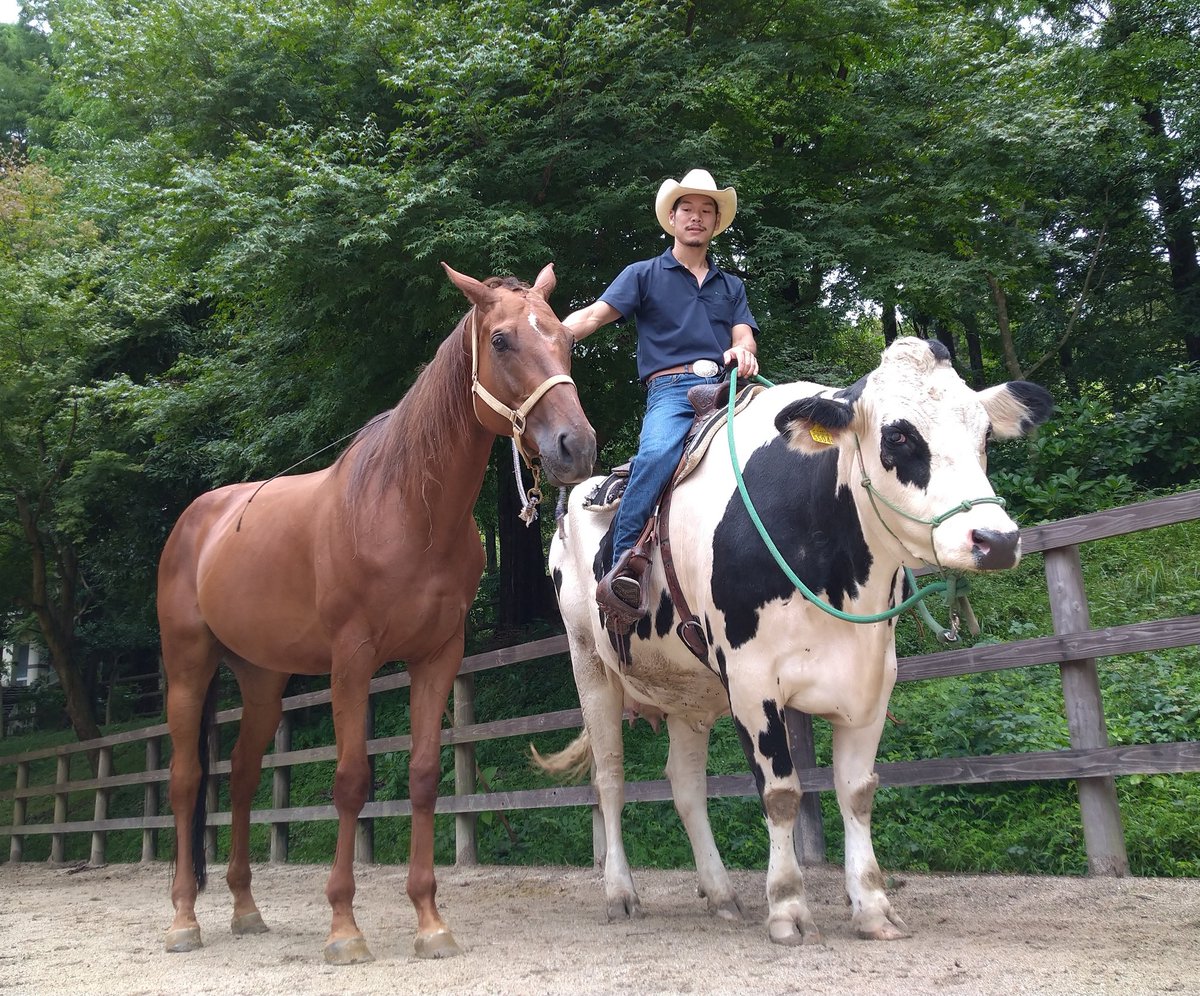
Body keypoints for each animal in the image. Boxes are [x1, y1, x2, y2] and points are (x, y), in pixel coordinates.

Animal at [154, 261, 595, 964]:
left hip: (262, 681)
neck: (406, 509)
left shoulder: (437, 657)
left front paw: (430, 922)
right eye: (500, 340)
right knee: (186, 780)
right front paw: (344, 928)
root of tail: (196, 520)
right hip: (189, 668)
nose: (574, 446)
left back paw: (246, 910)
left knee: (245, 779)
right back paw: (183, 921)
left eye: (566, 338)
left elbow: (423, 777)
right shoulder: (352, 661)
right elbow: (351, 780)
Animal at [540, 338, 1056, 945]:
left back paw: (721, 894)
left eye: (985, 435)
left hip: (686, 690)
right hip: (590, 664)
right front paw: (787, 906)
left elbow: (857, 790)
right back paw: (621, 893)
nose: (996, 540)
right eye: (898, 436)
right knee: (610, 778)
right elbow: (782, 793)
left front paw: (873, 906)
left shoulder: (874, 680)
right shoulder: (751, 681)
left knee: (686, 786)